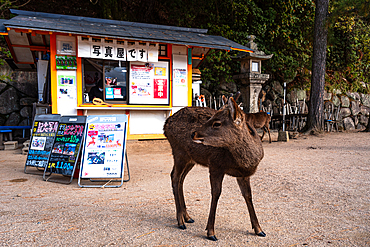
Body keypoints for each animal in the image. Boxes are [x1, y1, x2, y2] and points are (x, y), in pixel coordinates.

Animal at [163, 97, 266, 241]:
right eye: (211, 117)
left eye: (217, 123)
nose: (193, 133)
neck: (245, 162)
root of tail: (165, 125)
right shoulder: (215, 165)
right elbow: (216, 193)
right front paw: (211, 232)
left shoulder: (243, 175)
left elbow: (248, 195)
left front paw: (259, 230)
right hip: (179, 152)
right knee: (174, 177)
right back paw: (180, 221)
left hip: (191, 159)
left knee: (181, 179)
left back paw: (187, 217)